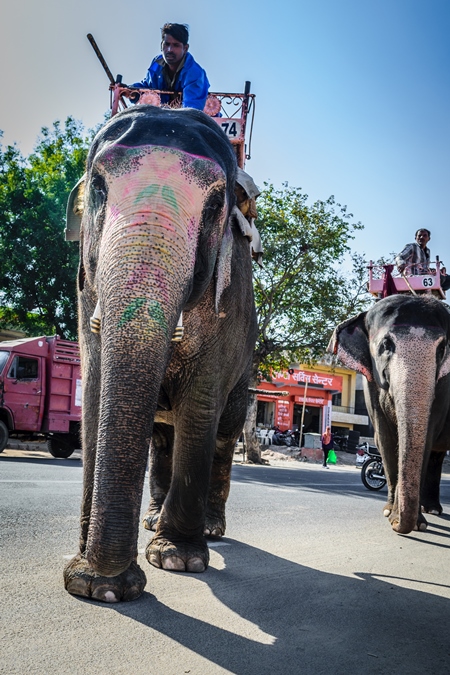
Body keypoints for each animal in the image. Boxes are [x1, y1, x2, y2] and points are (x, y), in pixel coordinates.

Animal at [65, 104, 258, 604]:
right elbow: (94, 395)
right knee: (160, 436)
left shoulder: (227, 300)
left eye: (215, 204)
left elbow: (201, 403)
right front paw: (93, 582)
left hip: (246, 374)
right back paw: (153, 519)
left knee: (224, 433)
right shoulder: (83, 290)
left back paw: (209, 529)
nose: (109, 586)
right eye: (98, 186)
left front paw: (177, 560)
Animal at [328, 296, 450, 532]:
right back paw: (429, 509)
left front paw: (417, 524)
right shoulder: (370, 383)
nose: (397, 525)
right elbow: (385, 437)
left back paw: (431, 510)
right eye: (386, 345)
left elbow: (426, 437)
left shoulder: (443, 387)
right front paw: (389, 514)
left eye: (442, 349)